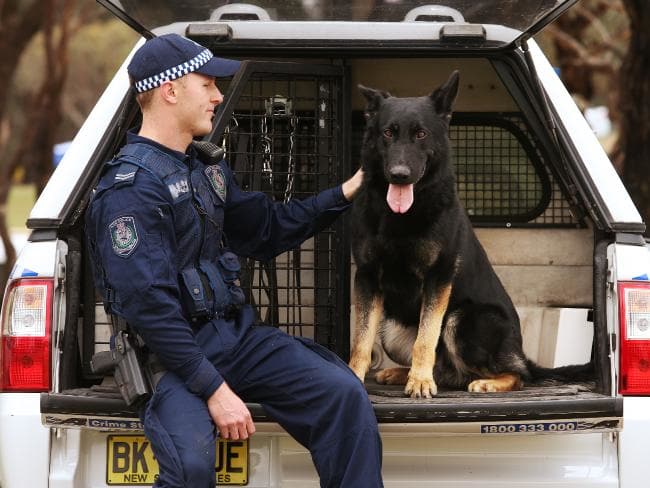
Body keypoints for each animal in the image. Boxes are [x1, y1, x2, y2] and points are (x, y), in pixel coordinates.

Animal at [346, 73, 588, 400]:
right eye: (387, 133)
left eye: (420, 134)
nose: (399, 174)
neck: (402, 216)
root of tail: (521, 355)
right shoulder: (368, 278)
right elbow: (361, 341)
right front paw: (354, 377)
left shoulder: (438, 277)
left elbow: (426, 338)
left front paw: (420, 382)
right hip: (391, 330)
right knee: (449, 372)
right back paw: (404, 374)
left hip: (464, 320)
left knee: (517, 375)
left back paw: (483, 381)